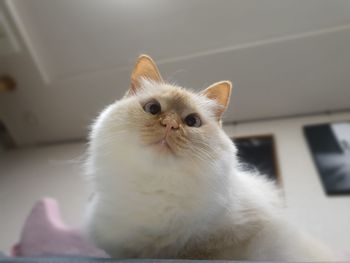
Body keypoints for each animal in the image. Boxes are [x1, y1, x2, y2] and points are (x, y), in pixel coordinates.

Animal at [84, 54, 336, 260]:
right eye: (153, 109)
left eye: (192, 121)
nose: (170, 125)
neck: (156, 190)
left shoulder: (246, 238)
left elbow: (202, 252)